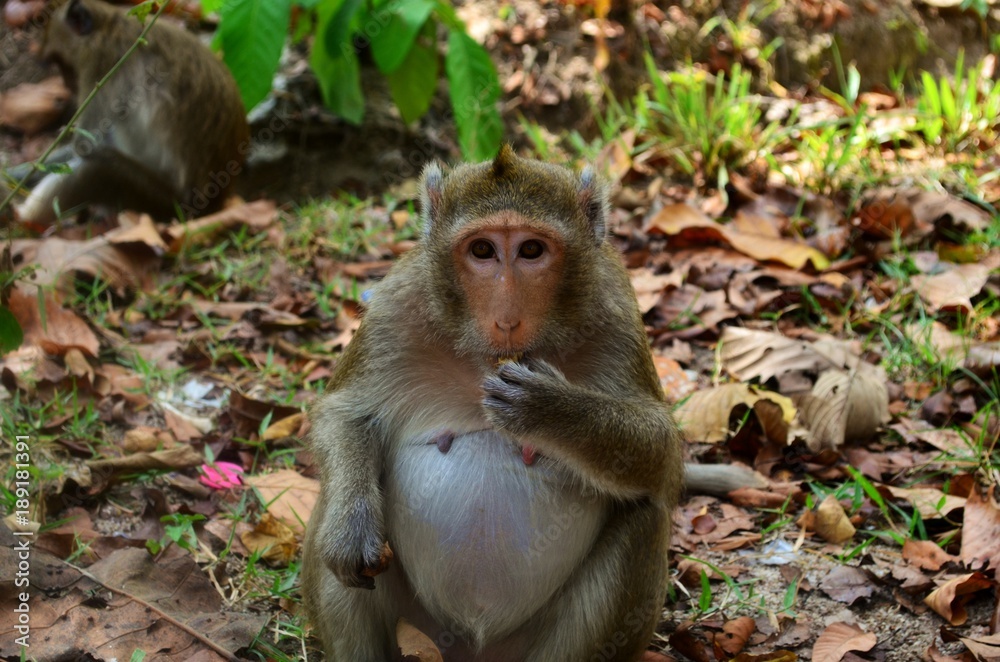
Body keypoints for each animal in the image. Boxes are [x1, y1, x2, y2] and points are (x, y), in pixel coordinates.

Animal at [11, 0, 248, 223]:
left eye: (61, 63)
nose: (68, 85)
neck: (111, 24)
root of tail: (214, 205)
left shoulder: (101, 64)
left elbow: (87, 146)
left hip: (167, 205)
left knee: (95, 170)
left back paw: (21, 218)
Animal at [302, 145, 684, 662]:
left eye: (531, 250)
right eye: (482, 250)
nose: (506, 319)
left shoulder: (614, 310)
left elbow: (660, 451)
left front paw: (549, 407)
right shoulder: (398, 303)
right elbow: (345, 414)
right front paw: (351, 528)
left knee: (643, 514)